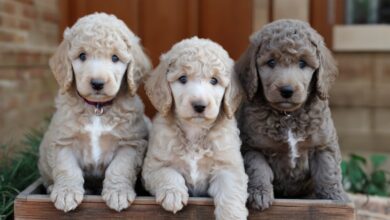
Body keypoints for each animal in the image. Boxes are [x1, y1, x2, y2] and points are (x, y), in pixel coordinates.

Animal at [37, 12, 151, 212]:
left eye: (115, 58)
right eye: (82, 55)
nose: (97, 83)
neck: (98, 108)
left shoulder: (131, 143)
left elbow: (120, 168)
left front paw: (118, 193)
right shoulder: (63, 141)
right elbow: (67, 168)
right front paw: (66, 193)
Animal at [142, 37, 248, 220]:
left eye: (214, 80)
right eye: (183, 78)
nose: (199, 105)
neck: (194, 131)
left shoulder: (228, 166)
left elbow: (230, 190)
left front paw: (231, 215)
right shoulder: (153, 165)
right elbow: (167, 173)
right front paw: (173, 194)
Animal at [236, 19, 348, 210]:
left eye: (302, 63)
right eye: (271, 62)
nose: (286, 90)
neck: (287, 115)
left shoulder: (323, 144)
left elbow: (328, 171)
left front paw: (335, 197)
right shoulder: (252, 147)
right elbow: (258, 169)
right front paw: (260, 194)